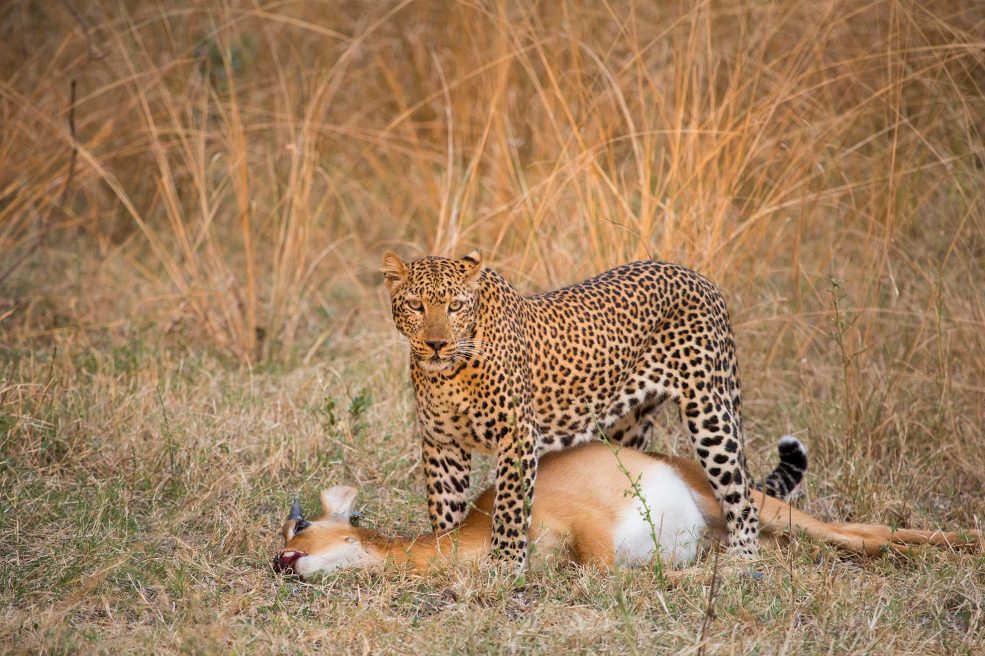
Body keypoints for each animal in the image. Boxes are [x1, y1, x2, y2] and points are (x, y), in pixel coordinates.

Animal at [382, 250, 761, 569]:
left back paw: (742, 562)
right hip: (628, 427)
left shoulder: (517, 436)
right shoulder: (442, 444)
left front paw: (506, 566)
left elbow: (509, 507)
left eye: (455, 306)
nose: (436, 344)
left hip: (710, 412)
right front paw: (447, 548)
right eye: (416, 305)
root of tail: (699, 278)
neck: (448, 375)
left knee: (742, 496)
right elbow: (445, 513)